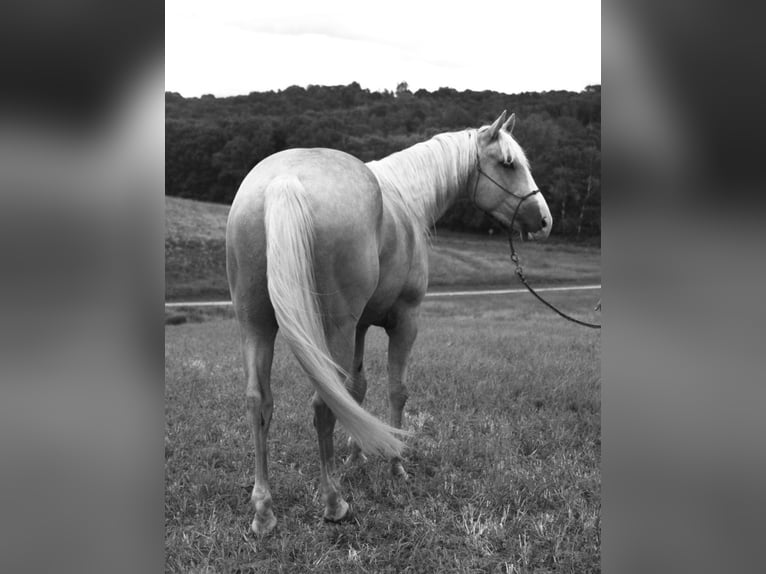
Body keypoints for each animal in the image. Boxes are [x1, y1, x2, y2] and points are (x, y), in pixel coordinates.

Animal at [225, 111, 552, 535]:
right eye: (508, 164)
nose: (544, 220)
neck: (406, 199)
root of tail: (285, 179)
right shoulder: (405, 321)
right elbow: (398, 390)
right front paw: (396, 463)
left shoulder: (362, 327)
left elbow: (357, 389)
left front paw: (356, 455)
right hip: (333, 328)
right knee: (322, 402)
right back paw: (334, 502)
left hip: (256, 325)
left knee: (259, 401)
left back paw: (264, 511)